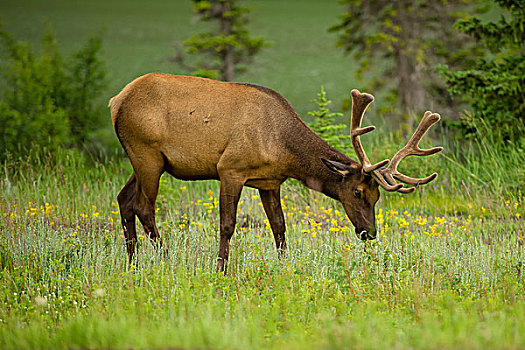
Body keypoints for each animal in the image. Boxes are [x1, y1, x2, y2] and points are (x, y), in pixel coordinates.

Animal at [110, 72, 442, 272]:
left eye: (377, 196)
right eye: (358, 191)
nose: (370, 232)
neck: (282, 147)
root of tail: (116, 101)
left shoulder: (269, 181)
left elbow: (279, 227)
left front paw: (285, 267)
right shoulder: (230, 168)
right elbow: (227, 225)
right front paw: (220, 269)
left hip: (146, 160)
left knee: (124, 199)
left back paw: (132, 263)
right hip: (147, 154)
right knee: (143, 206)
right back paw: (166, 258)